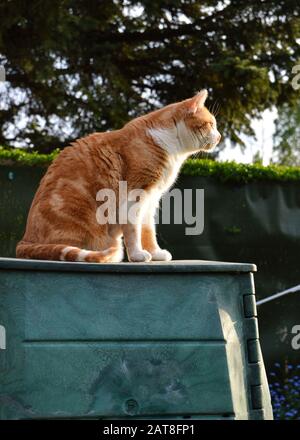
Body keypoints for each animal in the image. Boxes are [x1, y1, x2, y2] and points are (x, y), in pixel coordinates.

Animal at [17, 89, 220, 262]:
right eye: (210, 124)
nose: (219, 137)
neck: (170, 144)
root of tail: (25, 239)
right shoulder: (135, 194)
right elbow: (133, 230)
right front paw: (137, 254)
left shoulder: (151, 199)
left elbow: (148, 230)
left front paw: (155, 253)